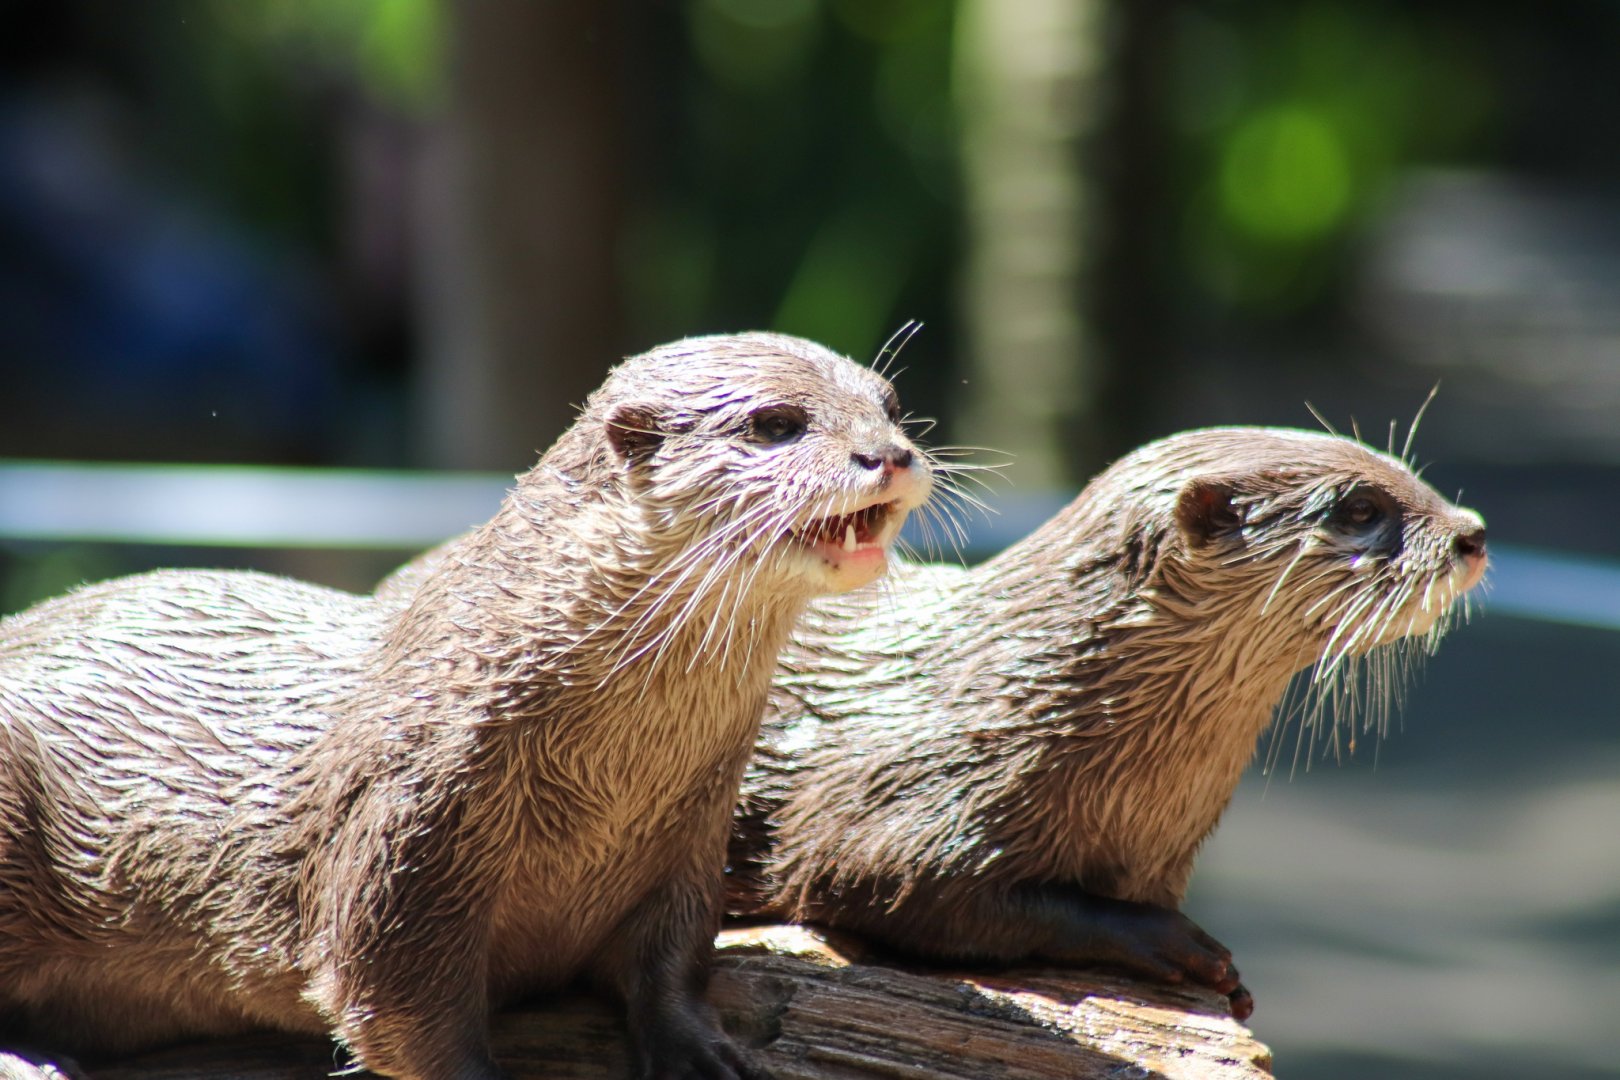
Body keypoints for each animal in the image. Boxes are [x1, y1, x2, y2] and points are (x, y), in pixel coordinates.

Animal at [0, 332, 932, 1080]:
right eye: (776, 424)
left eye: (890, 407)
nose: (888, 455)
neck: (603, 783)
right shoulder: (410, 824)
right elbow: (398, 1005)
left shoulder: (692, 834)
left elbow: (672, 962)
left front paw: (700, 1050)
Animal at [728, 426, 1487, 1022]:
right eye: (1360, 508)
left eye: (1407, 470)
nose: (1472, 532)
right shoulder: (909, 797)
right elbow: (889, 880)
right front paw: (1177, 944)